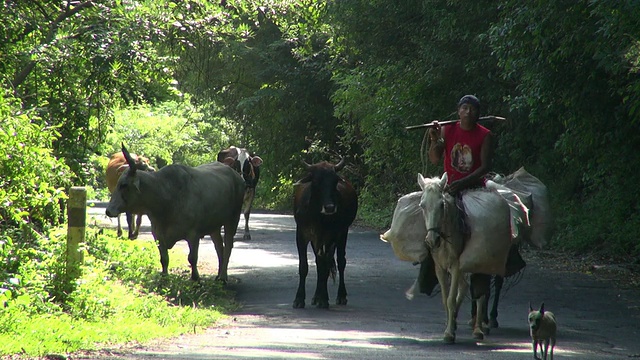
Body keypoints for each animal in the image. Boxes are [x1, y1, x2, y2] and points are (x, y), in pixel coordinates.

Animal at [105, 145, 245, 282]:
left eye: (124, 185)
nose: (108, 210)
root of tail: (236, 175)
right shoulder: (157, 234)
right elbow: (164, 259)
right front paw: (164, 277)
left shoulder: (193, 234)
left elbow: (192, 258)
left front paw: (195, 278)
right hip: (214, 227)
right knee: (219, 247)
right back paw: (218, 275)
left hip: (233, 219)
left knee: (228, 246)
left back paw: (223, 277)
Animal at [418, 173, 488, 344]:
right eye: (422, 205)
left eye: (441, 205)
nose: (432, 240)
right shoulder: (440, 267)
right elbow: (446, 299)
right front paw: (450, 325)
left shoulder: (456, 265)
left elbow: (451, 298)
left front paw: (449, 333)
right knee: (464, 287)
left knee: (481, 294)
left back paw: (478, 329)